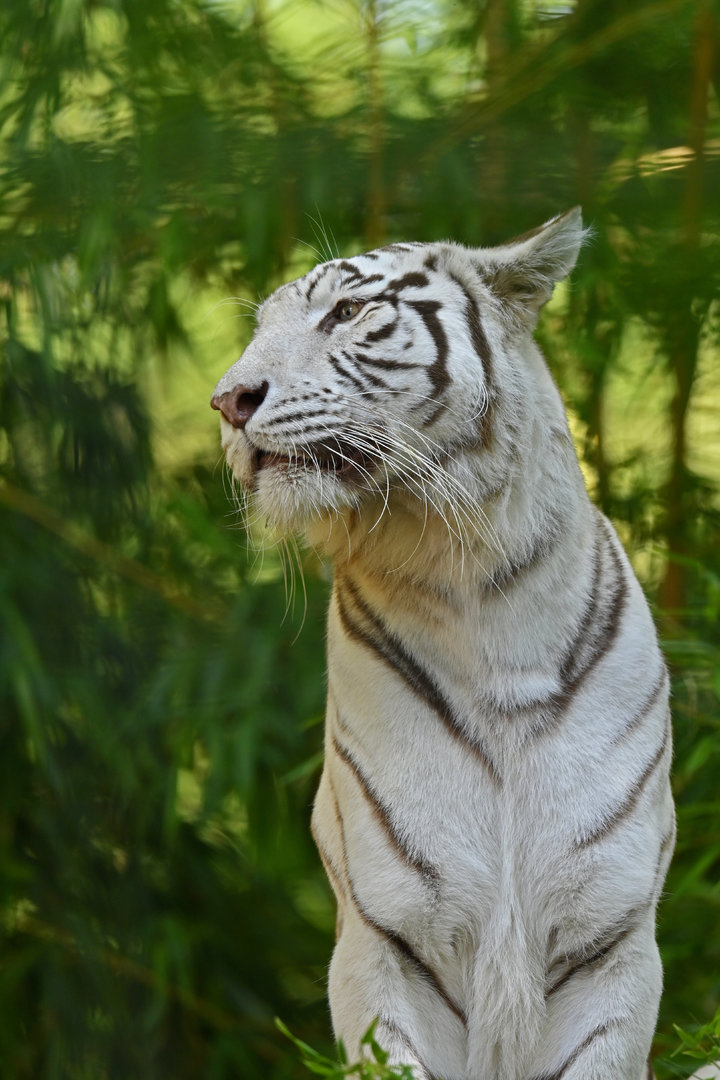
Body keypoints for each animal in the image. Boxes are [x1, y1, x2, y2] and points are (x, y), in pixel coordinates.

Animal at [211, 207, 675, 1080]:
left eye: (347, 312)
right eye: (260, 329)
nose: (227, 400)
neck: (479, 598)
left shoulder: (611, 933)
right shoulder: (387, 935)